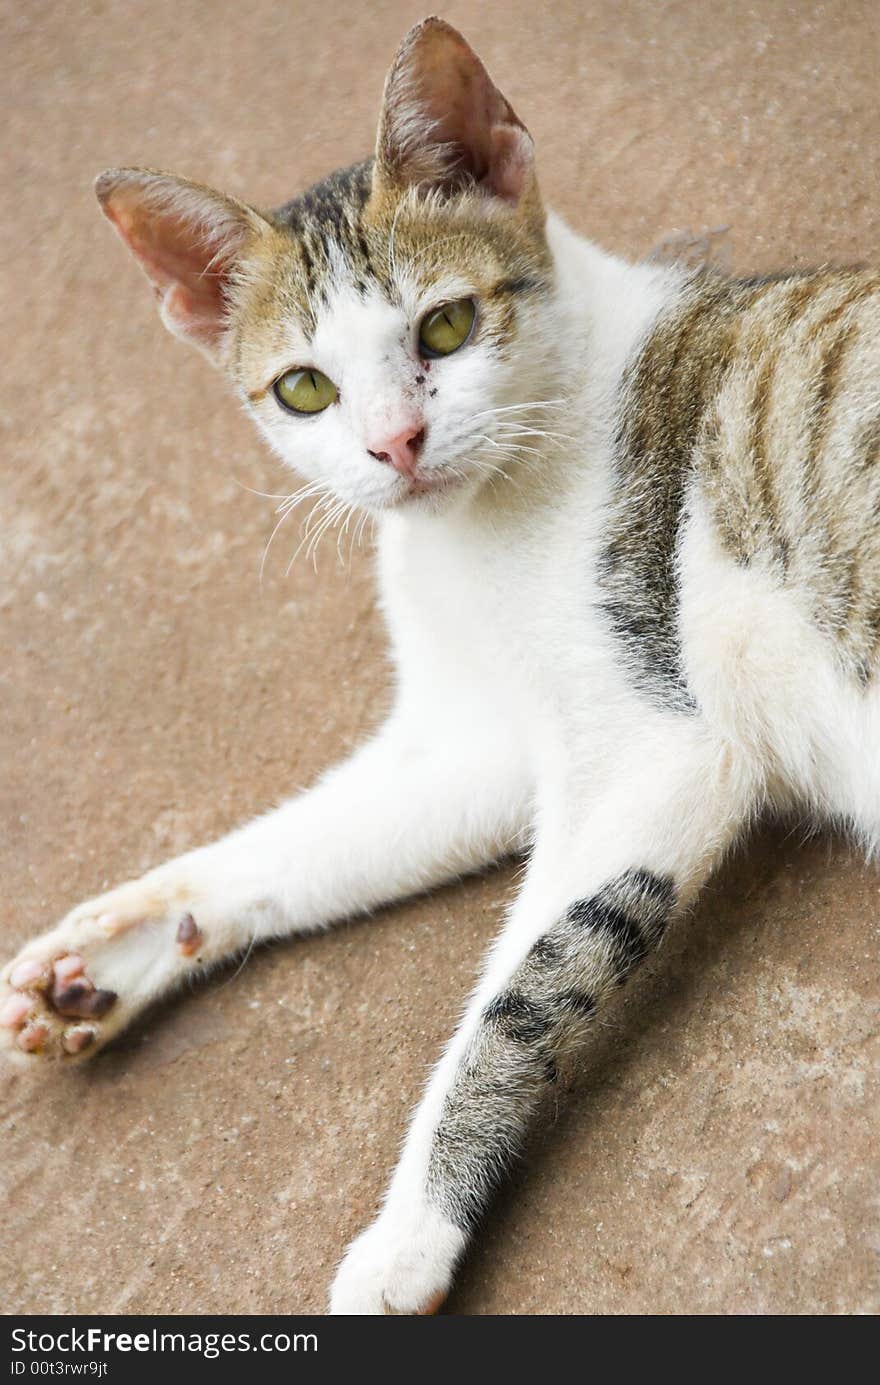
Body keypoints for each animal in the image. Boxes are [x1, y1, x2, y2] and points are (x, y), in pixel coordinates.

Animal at [1, 16, 880, 1312]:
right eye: (304, 389)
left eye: (446, 328)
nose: (396, 444)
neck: (469, 530)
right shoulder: (475, 739)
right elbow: (302, 843)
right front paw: (106, 950)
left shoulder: (653, 746)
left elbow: (521, 990)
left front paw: (409, 1231)